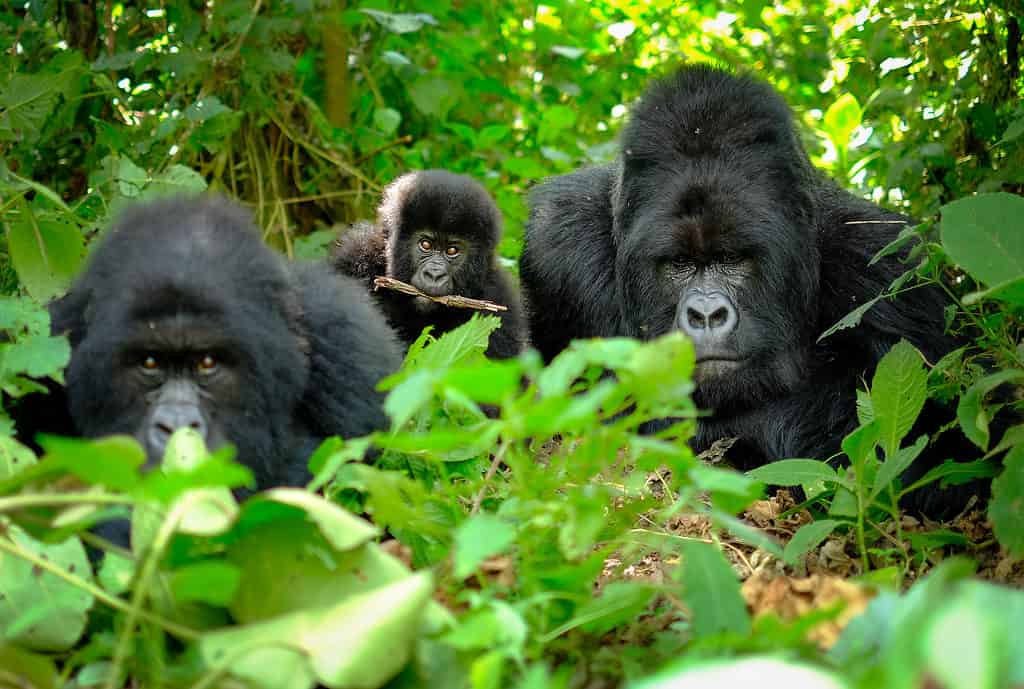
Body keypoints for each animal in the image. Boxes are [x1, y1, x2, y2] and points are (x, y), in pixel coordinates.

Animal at [520, 64, 958, 509]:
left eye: (732, 259)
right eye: (679, 264)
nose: (706, 315)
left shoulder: (891, 268)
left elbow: (933, 449)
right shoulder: (558, 244)